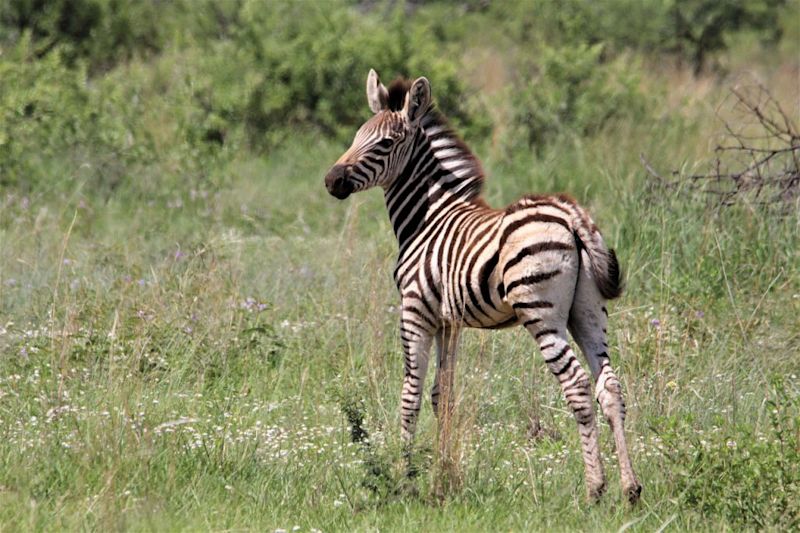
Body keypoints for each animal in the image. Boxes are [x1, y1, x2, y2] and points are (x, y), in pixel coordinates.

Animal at [322, 68, 640, 500]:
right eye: (356, 136)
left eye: (385, 143)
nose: (331, 180)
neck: (428, 217)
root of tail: (571, 216)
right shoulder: (448, 321)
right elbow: (443, 395)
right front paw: (442, 473)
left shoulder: (415, 311)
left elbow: (411, 395)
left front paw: (404, 477)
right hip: (587, 310)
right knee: (609, 386)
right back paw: (630, 488)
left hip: (541, 313)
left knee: (576, 385)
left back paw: (595, 488)